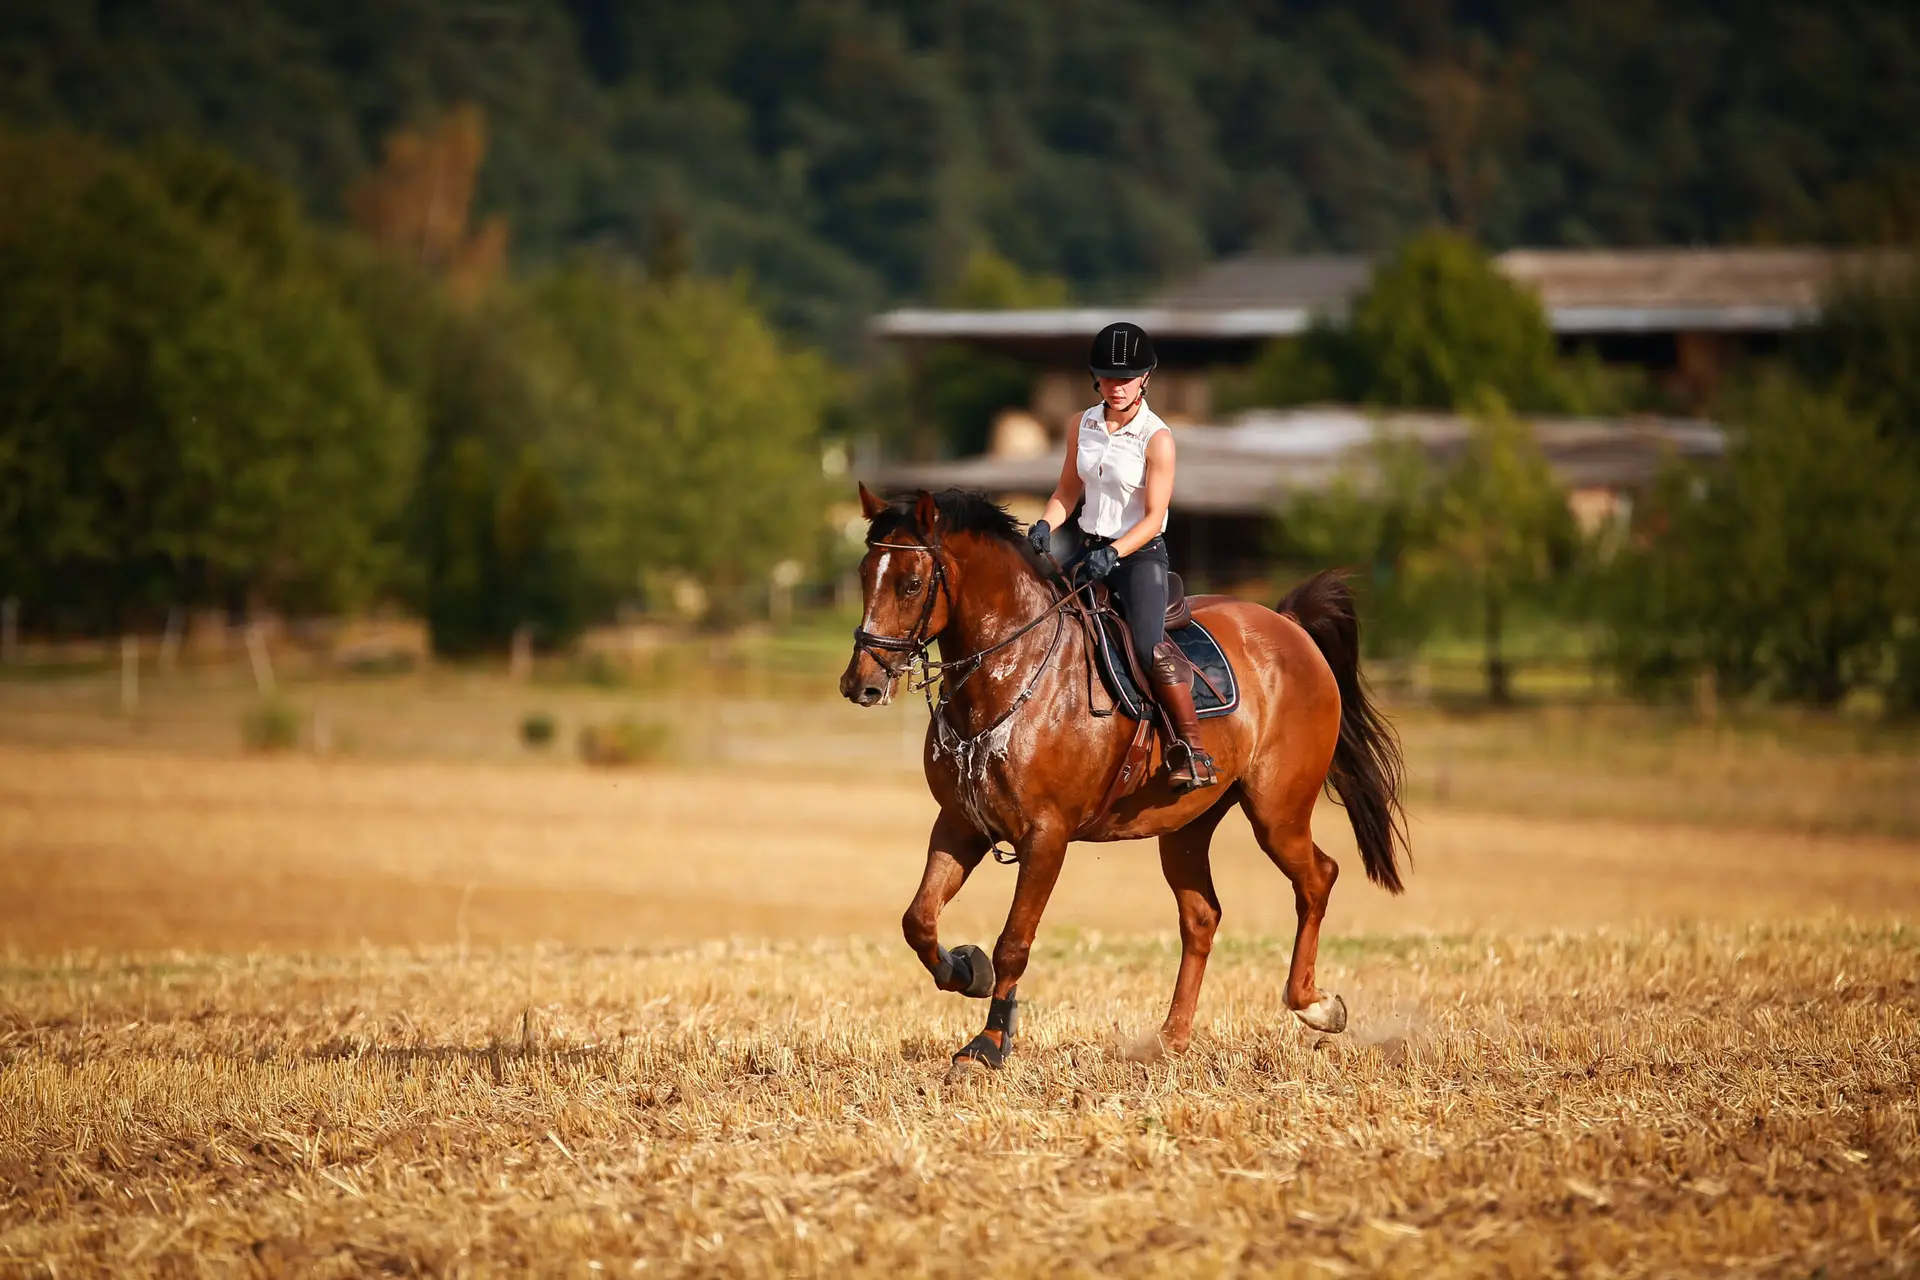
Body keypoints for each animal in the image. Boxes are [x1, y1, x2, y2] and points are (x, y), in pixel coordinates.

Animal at [839, 485, 1407, 1076]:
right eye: (864, 574)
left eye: (911, 583)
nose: (860, 684)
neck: (1010, 674)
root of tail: (1288, 626)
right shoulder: (960, 824)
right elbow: (919, 921)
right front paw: (968, 972)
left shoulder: (1046, 836)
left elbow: (1014, 942)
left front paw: (989, 1044)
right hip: (1186, 827)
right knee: (1202, 916)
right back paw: (1170, 1039)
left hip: (1277, 813)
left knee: (1317, 878)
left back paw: (1315, 1006)